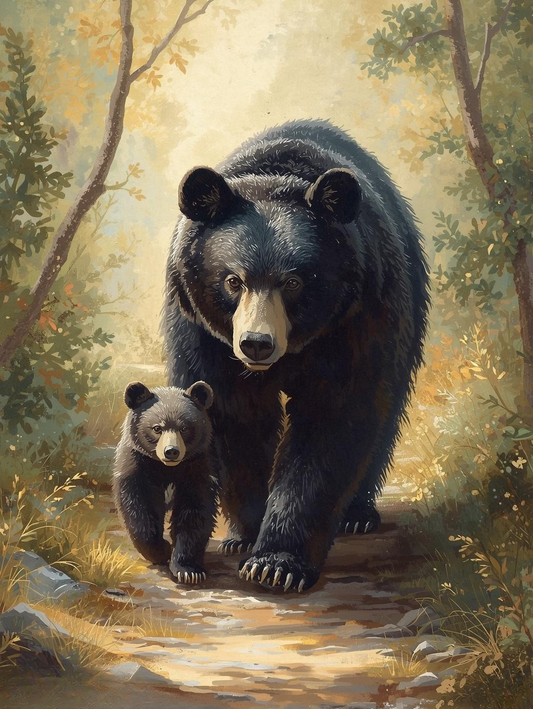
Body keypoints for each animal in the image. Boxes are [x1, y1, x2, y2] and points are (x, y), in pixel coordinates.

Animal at [113, 380, 217, 584]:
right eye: (157, 428)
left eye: (184, 428)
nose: (171, 451)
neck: (167, 468)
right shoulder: (138, 465)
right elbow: (139, 508)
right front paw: (161, 550)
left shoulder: (196, 468)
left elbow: (195, 512)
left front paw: (189, 570)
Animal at [164, 119, 430, 593]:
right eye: (233, 280)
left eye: (293, 282)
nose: (257, 343)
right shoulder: (202, 332)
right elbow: (232, 417)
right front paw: (247, 534)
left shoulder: (357, 318)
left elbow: (334, 421)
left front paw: (276, 564)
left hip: (408, 306)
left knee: (387, 409)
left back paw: (358, 515)